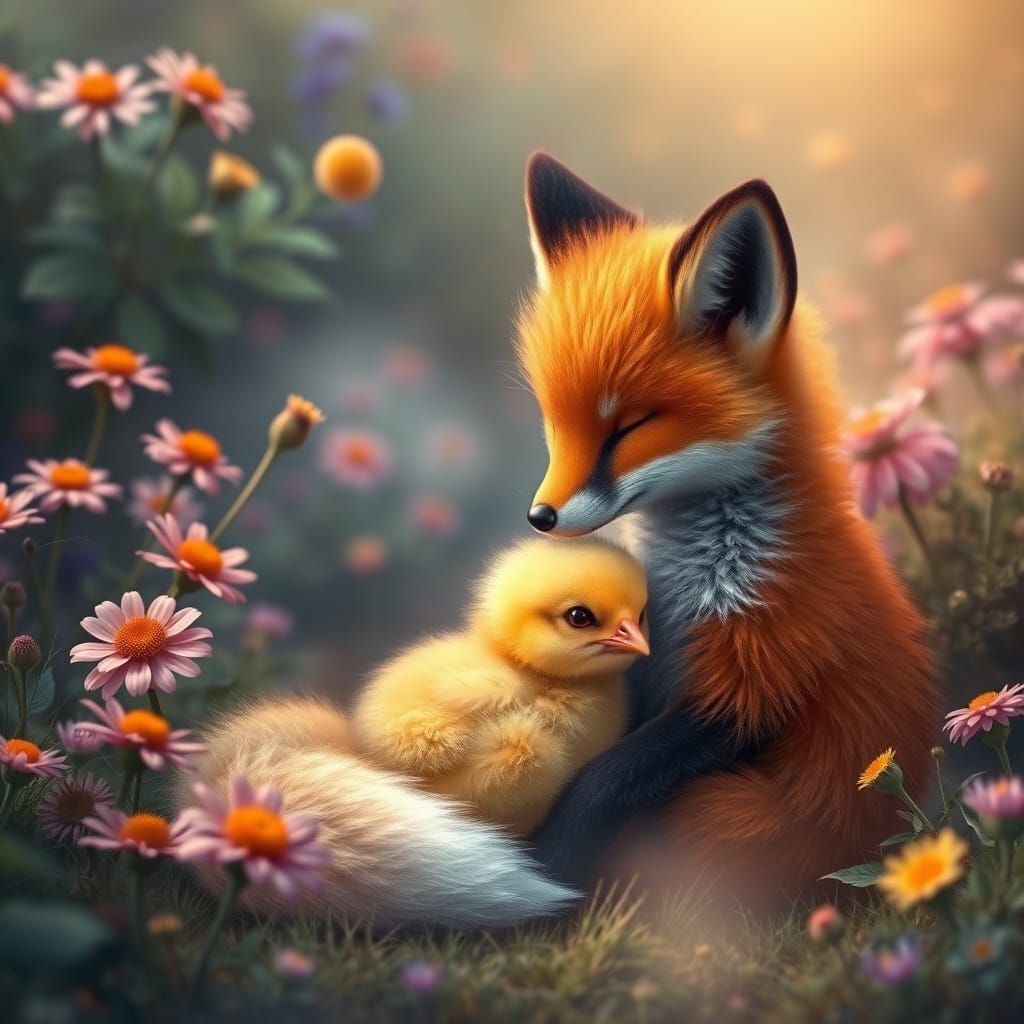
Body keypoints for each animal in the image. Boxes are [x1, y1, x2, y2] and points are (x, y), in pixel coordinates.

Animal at [518, 153, 938, 909]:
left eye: (627, 428)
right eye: (554, 421)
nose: (540, 517)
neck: (698, 573)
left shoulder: (761, 670)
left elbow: (603, 781)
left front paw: (547, 867)